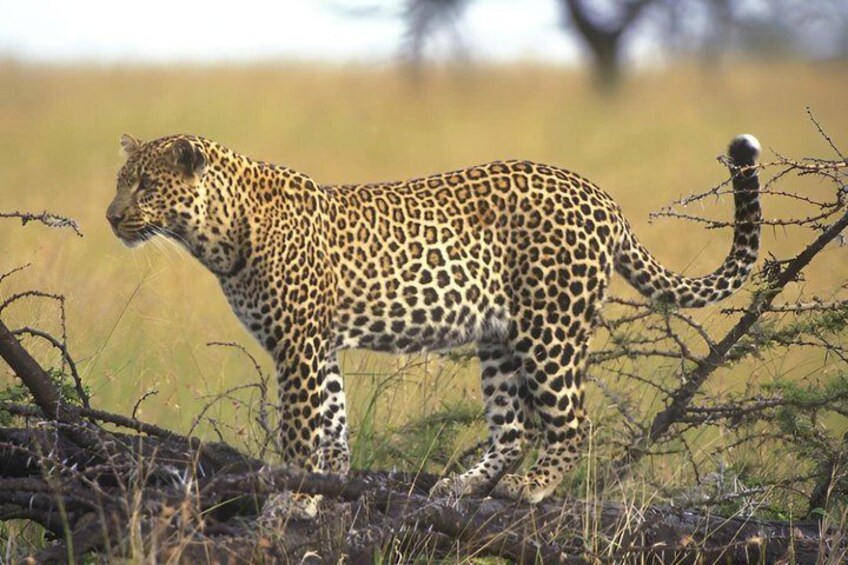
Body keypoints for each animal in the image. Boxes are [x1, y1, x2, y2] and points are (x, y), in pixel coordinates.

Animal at [107, 132, 761, 511]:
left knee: (574, 422)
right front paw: (331, 486)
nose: (111, 216)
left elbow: (298, 430)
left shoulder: (297, 346)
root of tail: (601, 196)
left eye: (144, 184)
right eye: (121, 181)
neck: (217, 232)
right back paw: (466, 485)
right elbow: (333, 422)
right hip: (498, 338)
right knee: (512, 429)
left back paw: (531, 488)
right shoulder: (319, 346)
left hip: (551, 327)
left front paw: (292, 501)